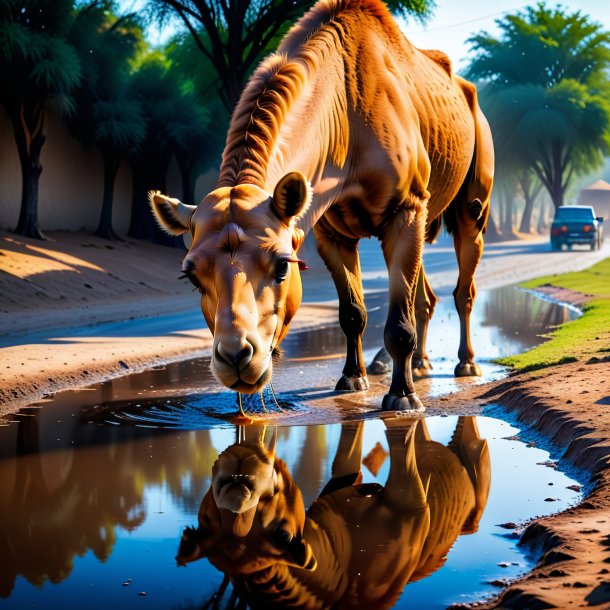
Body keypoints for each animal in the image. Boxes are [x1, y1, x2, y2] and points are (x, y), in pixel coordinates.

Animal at [150, 0, 492, 414]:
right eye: (191, 275)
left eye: (283, 266)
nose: (236, 357)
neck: (344, 119)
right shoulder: (329, 230)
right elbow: (352, 312)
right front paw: (352, 377)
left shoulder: (404, 210)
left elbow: (397, 322)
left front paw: (403, 396)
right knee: (423, 295)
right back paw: (419, 364)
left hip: (471, 199)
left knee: (464, 279)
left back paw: (466, 363)